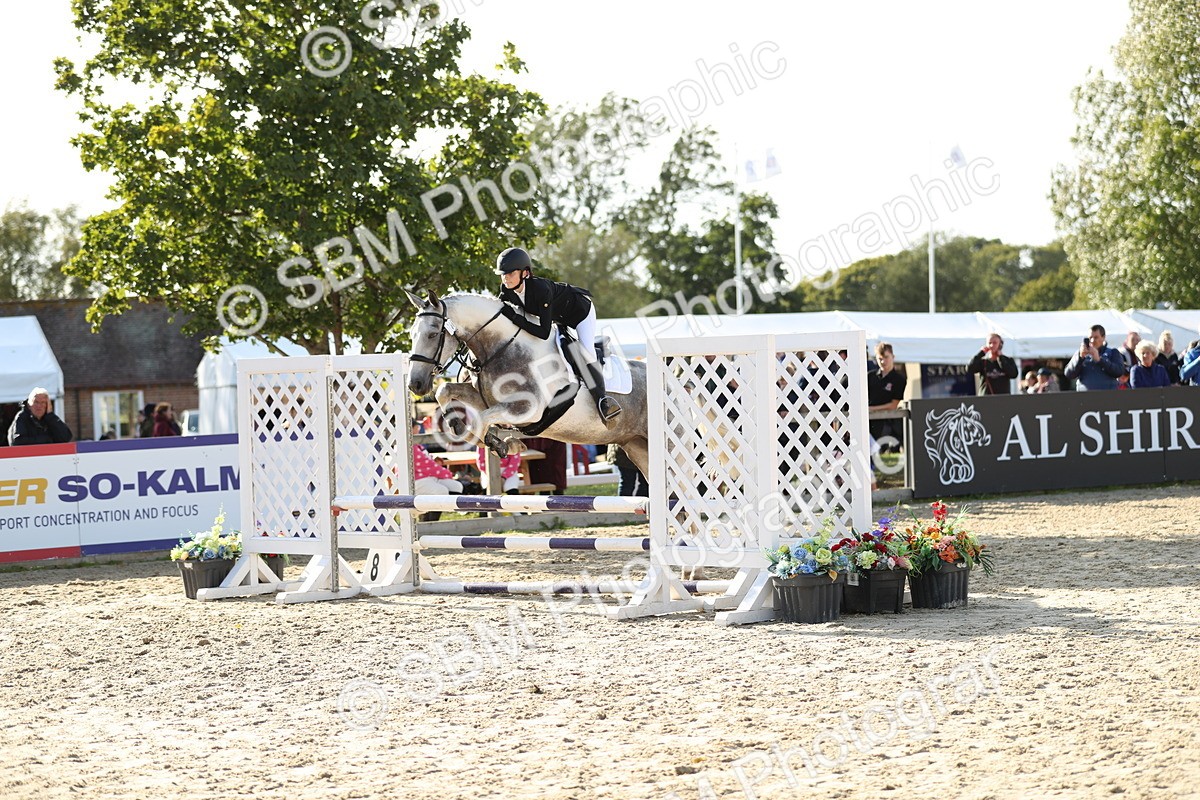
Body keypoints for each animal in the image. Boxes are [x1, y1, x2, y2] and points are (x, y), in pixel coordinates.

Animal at [404, 289, 652, 480]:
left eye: (433, 334)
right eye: (411, 334)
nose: (415, 384)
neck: (502, 347)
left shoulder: (528, 410)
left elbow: (479, 422)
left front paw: (503, 445)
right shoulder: (485, 399)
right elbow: (445, 391)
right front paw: (461, 427)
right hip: (636, 445)